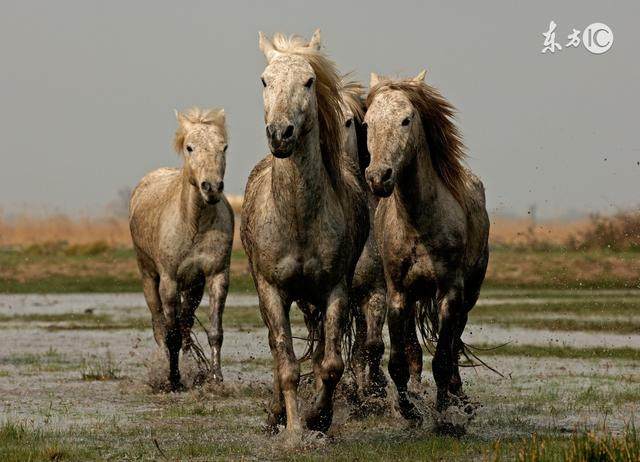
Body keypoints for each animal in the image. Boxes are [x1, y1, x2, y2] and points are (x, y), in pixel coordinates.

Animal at [129, 108, 234, 390]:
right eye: (190, 147)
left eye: (224, 147)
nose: (211, 187)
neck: (194, 223)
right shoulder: (169, 280)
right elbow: (171, 333)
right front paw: (173, 380)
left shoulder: (216, 276)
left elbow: (214, 331)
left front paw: (215, 379)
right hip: (148, 277)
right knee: (160, 326)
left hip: (194, 285)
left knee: (185, 323)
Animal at [240, 29, 368, 434]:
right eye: (265, 80)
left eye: (309, 81)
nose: (281, 134)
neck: (296, 218)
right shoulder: (272, 291)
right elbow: (286, 366)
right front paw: (294, 431)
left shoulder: (335, 289)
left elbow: (330, 365)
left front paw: (318, 418)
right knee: (276, 349)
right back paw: (275, 415)